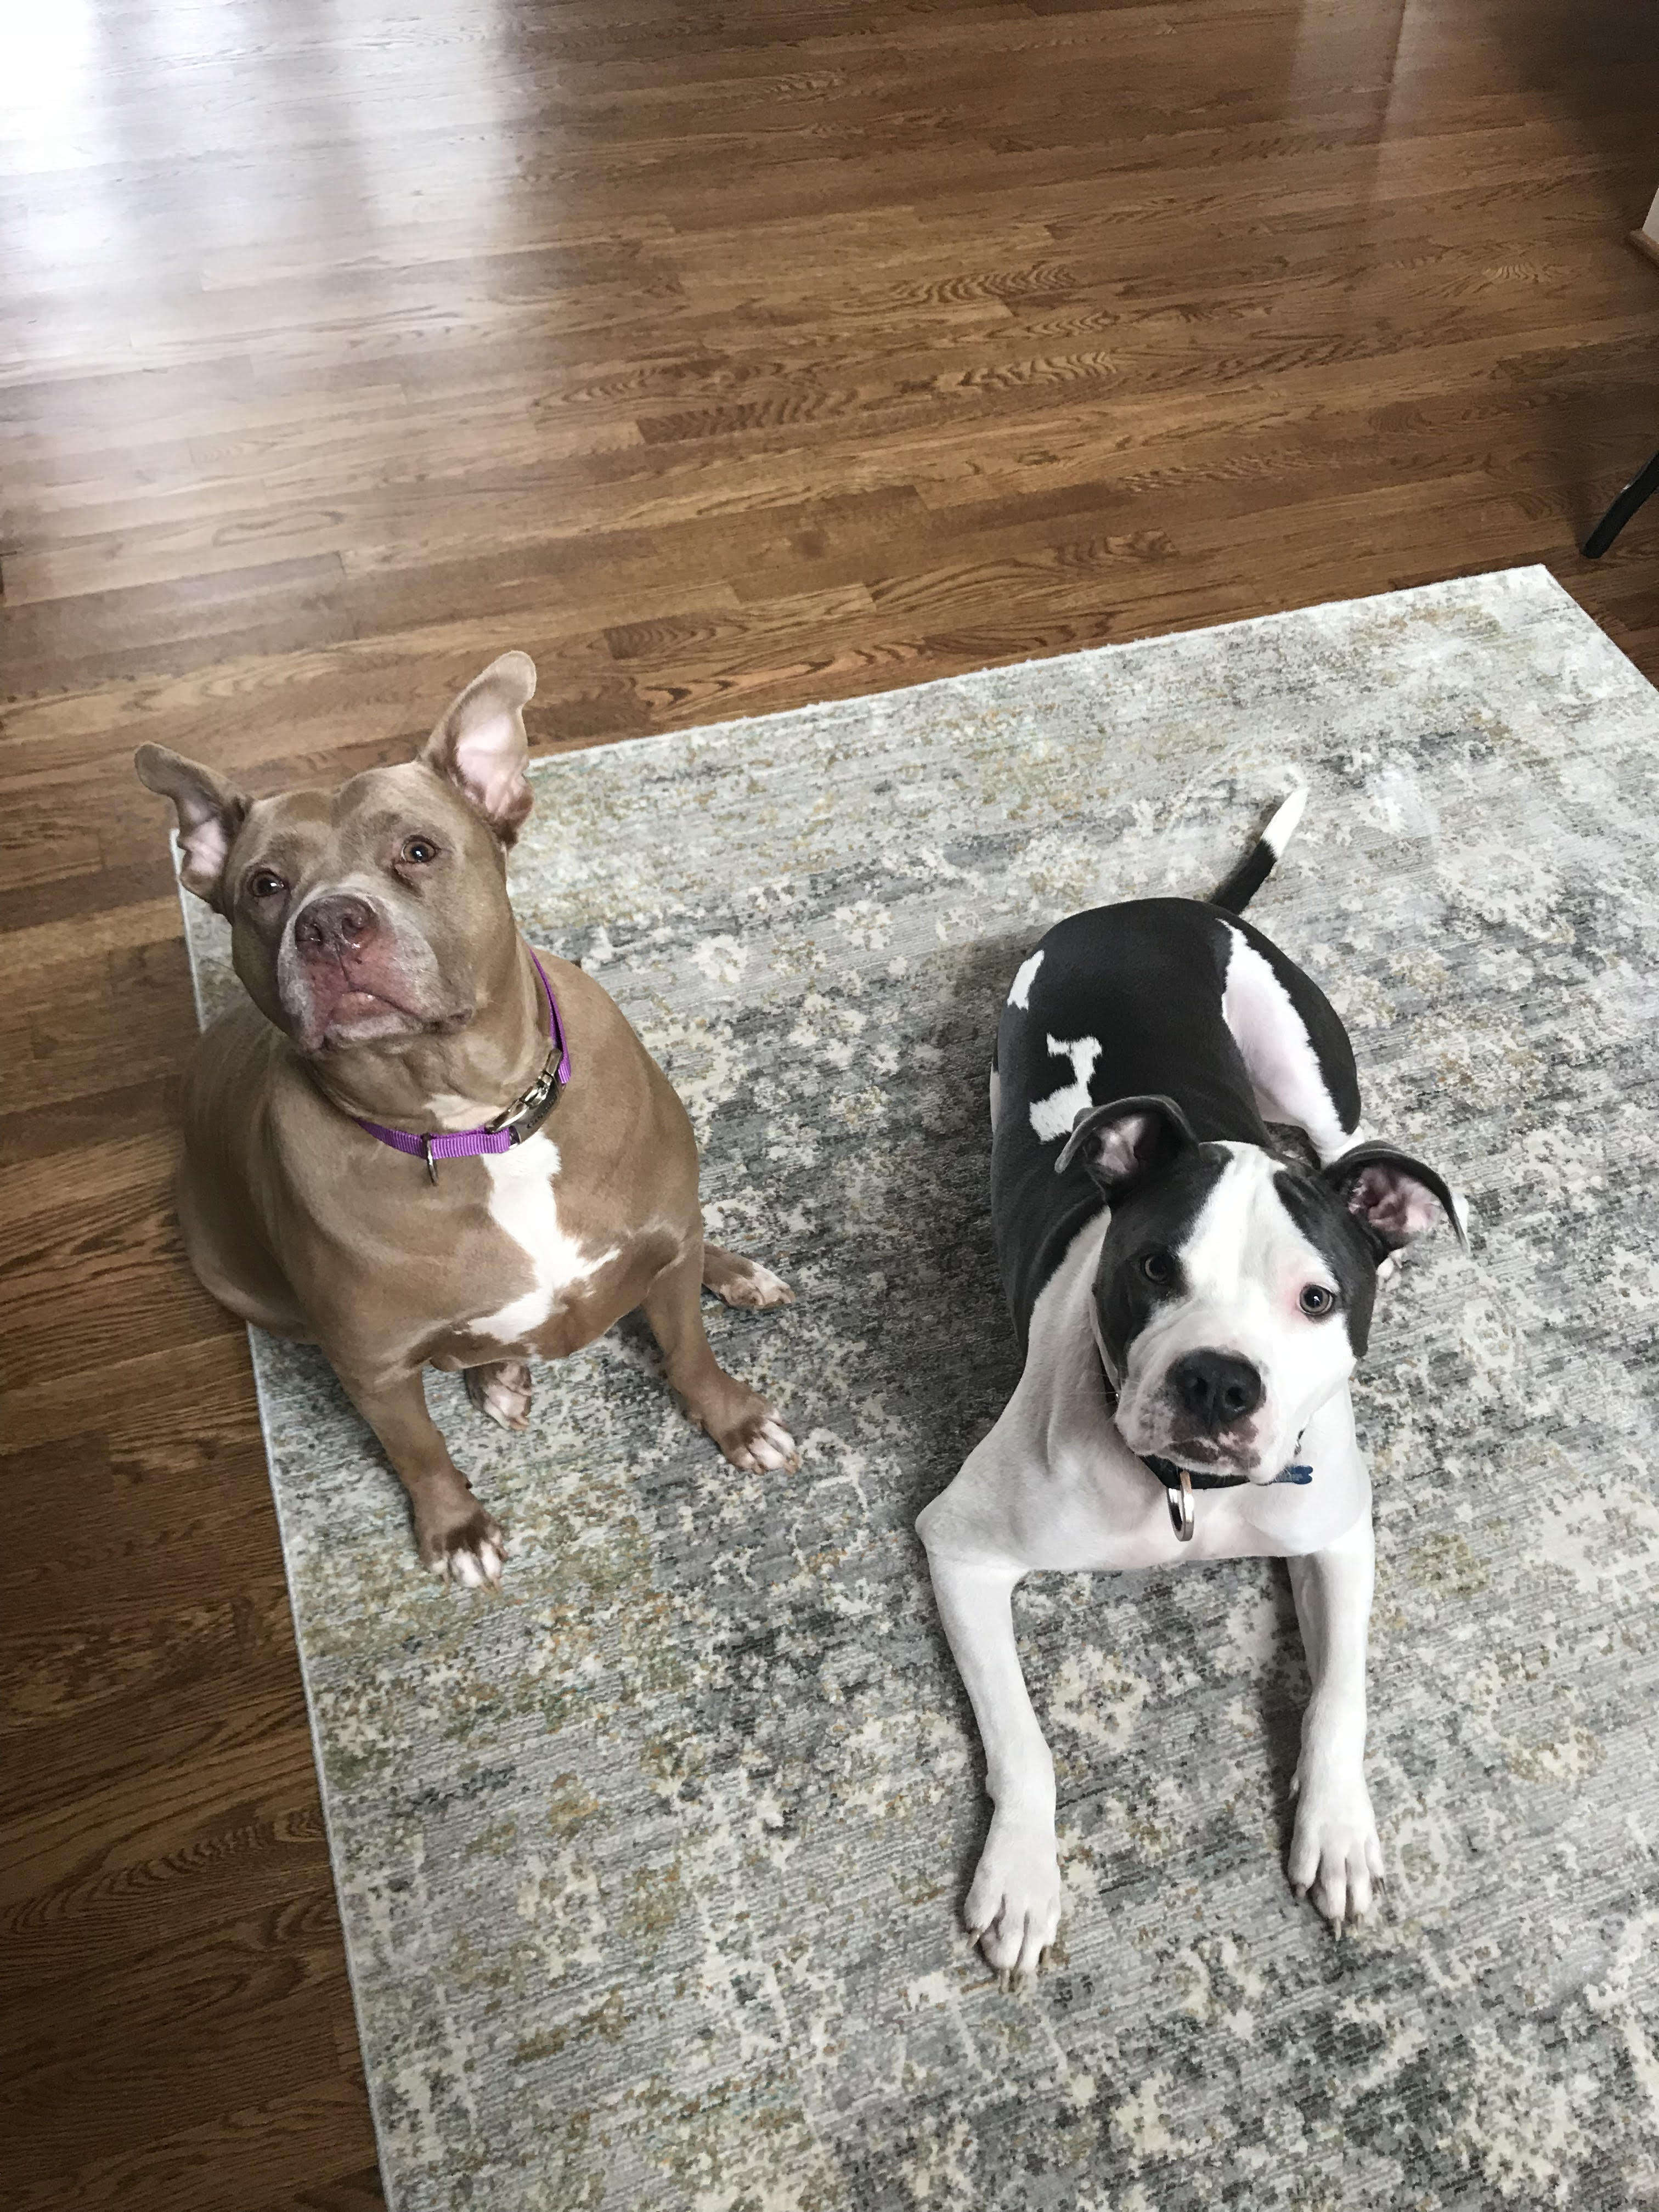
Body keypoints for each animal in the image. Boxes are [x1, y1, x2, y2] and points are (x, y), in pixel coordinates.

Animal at [136, 646, 800, 1583]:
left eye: (418, 850)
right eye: (265, 885)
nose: (330, 923)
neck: (476, 1124)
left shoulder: (664, 1252)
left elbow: (689, 1351)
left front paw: (736, 1419)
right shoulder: (373, 1369)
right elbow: (417, 1450)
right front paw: (456, 1529)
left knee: (688, 1244)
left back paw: (734, 1271)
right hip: (240, 1283)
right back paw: (497, 1374)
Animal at [924, 792, 1469, 1973]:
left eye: (1317, 1298)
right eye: (1152, 1269)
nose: (1218, 1382)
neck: (1187, 1493)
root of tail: (1162, 904)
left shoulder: (1339, 1536)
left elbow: (1339, 1693)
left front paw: (1338, 1831)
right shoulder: (961, 1549)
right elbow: (1023, 1740)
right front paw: (1022, 1878)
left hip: (1311, 1072)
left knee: (1347, 1144)